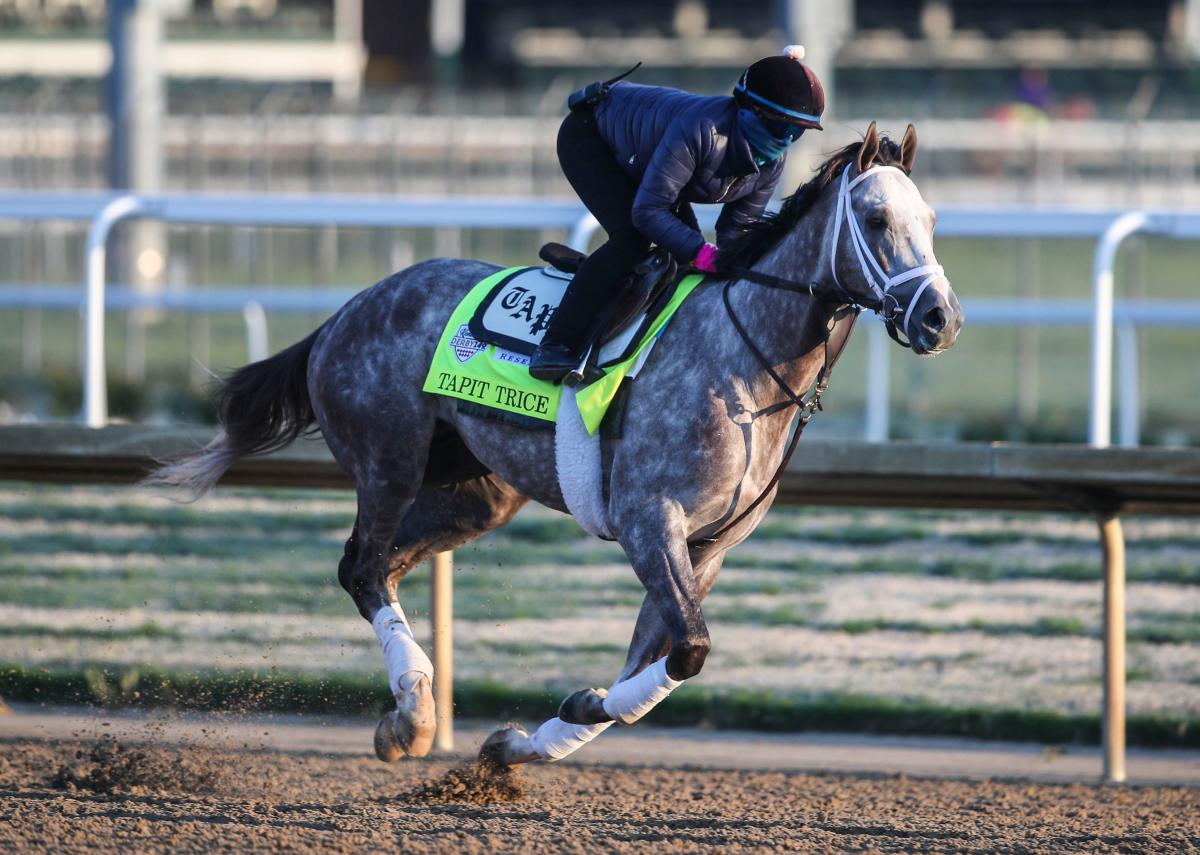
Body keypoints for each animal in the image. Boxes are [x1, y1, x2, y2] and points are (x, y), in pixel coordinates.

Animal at [150, 121, 960, 768]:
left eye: (931, 218)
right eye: (876, 217)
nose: (940, 319)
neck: (744, 368)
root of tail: (347, 310)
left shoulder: (706, 548)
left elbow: (654, 665)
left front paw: (530, 736)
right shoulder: (649, 521)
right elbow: (690, 650)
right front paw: (556, 718)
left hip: (477, 494)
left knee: (384, 566)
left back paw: (409, 709)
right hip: (388, 461)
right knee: (363, 567)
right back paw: (413, 718)